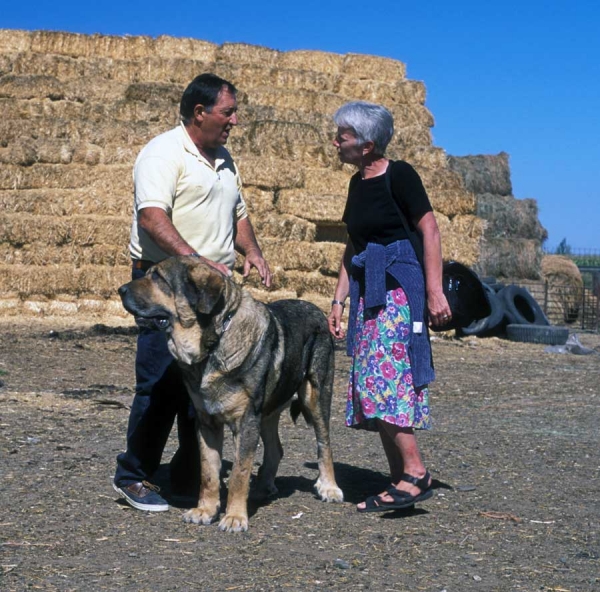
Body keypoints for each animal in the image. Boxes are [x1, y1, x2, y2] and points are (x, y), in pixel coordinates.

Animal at [118, 256, 342, 536]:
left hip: (315, 396)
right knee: (275, 449)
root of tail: (317, 310)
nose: (120, 290)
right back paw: (263, 488)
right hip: (266, 412)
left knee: (325, 443)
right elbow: (208, 472)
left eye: (158, 277)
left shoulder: (245, 422)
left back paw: (329, 487)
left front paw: (235, 517)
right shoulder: (206, 423)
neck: (214, 341)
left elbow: (238, 472)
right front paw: (205, 510)